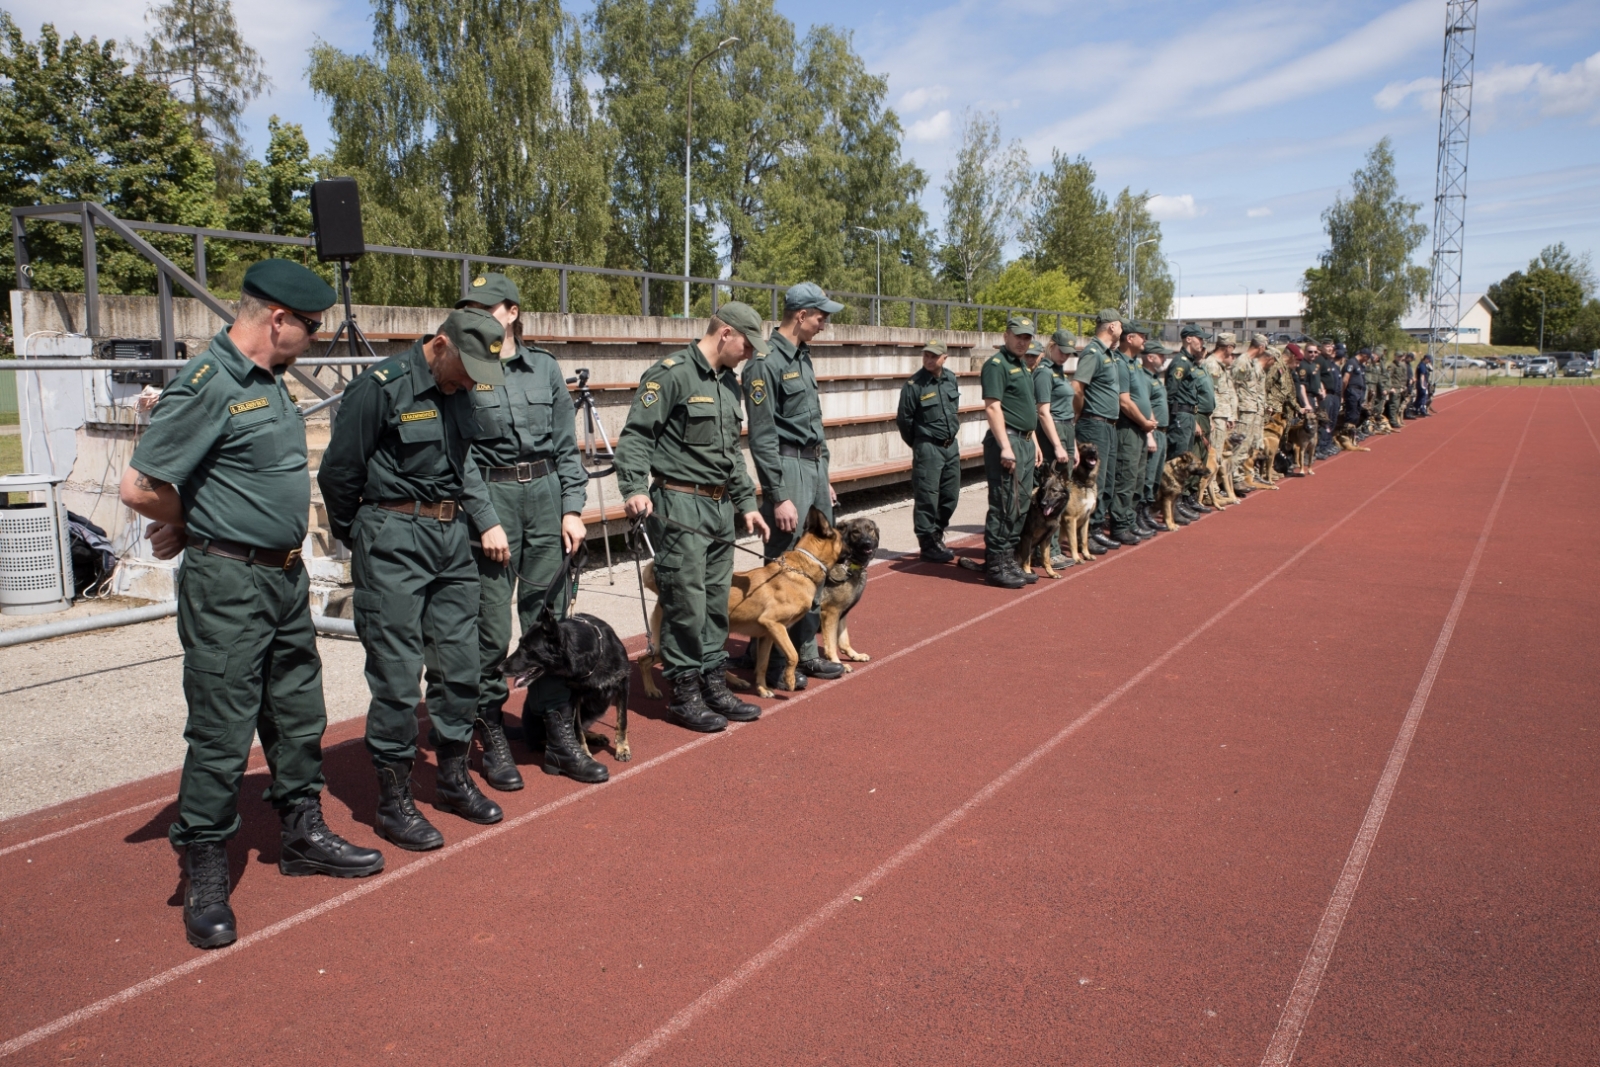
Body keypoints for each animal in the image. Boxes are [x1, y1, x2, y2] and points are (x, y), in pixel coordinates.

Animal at [636, 508, 844, 700]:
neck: (801, 567)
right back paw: (651, 689)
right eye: (844, 536)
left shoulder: (768, 635)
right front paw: (790, 680)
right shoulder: (775, 625)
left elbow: (762, 665)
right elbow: (793, 655)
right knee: (642, 660)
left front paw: (762, 689)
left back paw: (734, 681)